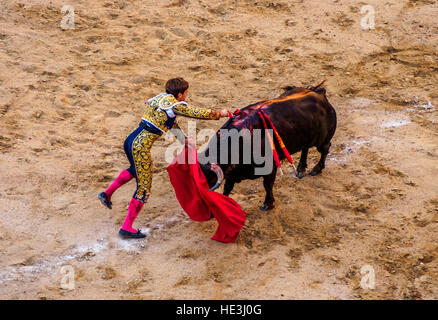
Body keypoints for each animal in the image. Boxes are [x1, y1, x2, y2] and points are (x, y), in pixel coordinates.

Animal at [200, 84, 338, 211]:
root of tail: (319, 94)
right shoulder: (232, 173)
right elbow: (228, 187)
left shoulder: (270, 167)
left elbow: (267, 185)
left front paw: (268, 204)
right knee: (305, 148)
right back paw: (300, 169)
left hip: (322, 140)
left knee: (325, 149)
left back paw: (316, 169)